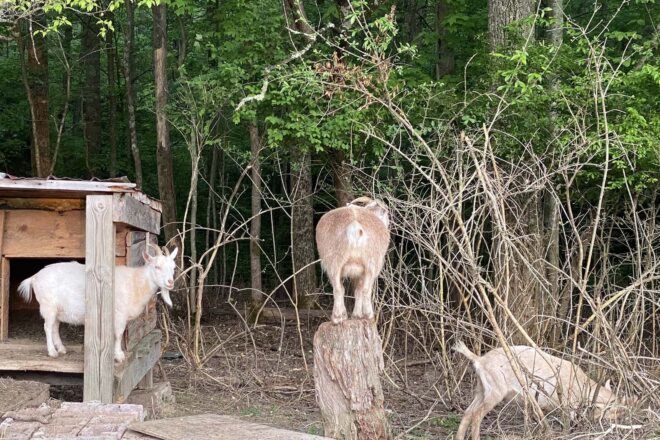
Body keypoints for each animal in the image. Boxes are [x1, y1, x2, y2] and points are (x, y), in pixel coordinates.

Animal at [18, 245, 177, 362]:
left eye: (174, 267)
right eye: (157, 266)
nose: (170, 282)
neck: (135, 282)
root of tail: (34, 277)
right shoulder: (119, 314)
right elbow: (118, 334)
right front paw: (119, 355)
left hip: (58, 309)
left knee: (55, 327)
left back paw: (61, 348)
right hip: (48, 306)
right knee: (47, 327)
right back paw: (52, 352)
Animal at [453, 341, 632, 440]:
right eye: (614, 409)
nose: (622, 418)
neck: (582, 386)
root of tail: (479, 360)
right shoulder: (568, 403)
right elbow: (568, 421)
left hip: (481, 389)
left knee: (468, 412)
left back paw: (459, 437)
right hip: (495, 390)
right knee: (477, 415)